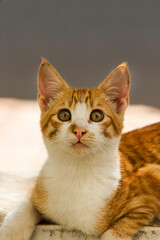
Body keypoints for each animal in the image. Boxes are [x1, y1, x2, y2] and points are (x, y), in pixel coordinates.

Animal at [0, 58, 160, 240]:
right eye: (64, 115)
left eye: (97, 116)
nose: (79, 130)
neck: (77, 171)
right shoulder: (40, 188)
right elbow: (26, 204)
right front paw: (12, 231)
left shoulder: (152, 180)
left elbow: (121, 227)